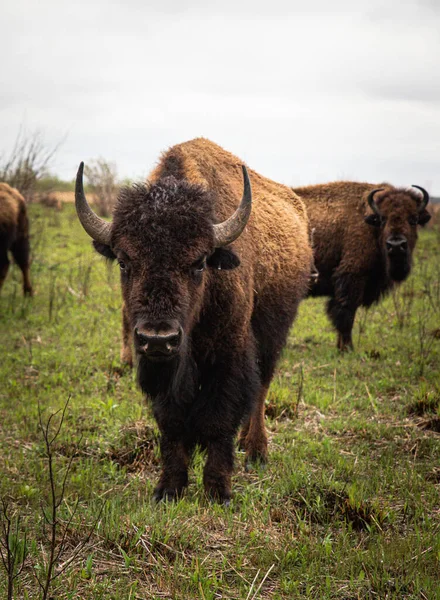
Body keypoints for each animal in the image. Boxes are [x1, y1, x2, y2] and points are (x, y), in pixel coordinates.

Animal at [76, 139, 312, 502]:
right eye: (124, 262)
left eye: (199, 262)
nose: (158, 338)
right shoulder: (162, 369)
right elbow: (171, 422)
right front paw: (169, 488)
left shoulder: (230, 353)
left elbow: (219, 417)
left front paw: (218, 490)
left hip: (274, 333)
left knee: (261, 388)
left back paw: (256, 450)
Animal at [292, 183, 430, 352]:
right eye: (383, 219)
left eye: (413, 219)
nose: (396, 245)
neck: (370, 226)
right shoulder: (352, 278)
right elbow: (346, 315)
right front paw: (347, 349)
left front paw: (341, 347)